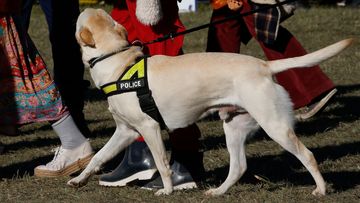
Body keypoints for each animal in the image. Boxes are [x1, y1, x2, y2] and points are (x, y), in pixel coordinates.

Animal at [69, 8, 352, 197]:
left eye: (78, 18)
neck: (117, 63)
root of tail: (263, 65)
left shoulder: (149, 128)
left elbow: (162, 165)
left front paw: (167, 191)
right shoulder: (125, 131)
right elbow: (98, 157)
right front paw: (79, 179)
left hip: (275, 126)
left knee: (308, 155)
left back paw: (321, 190)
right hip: (234, 127)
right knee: (238, 166)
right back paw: (217, 192)